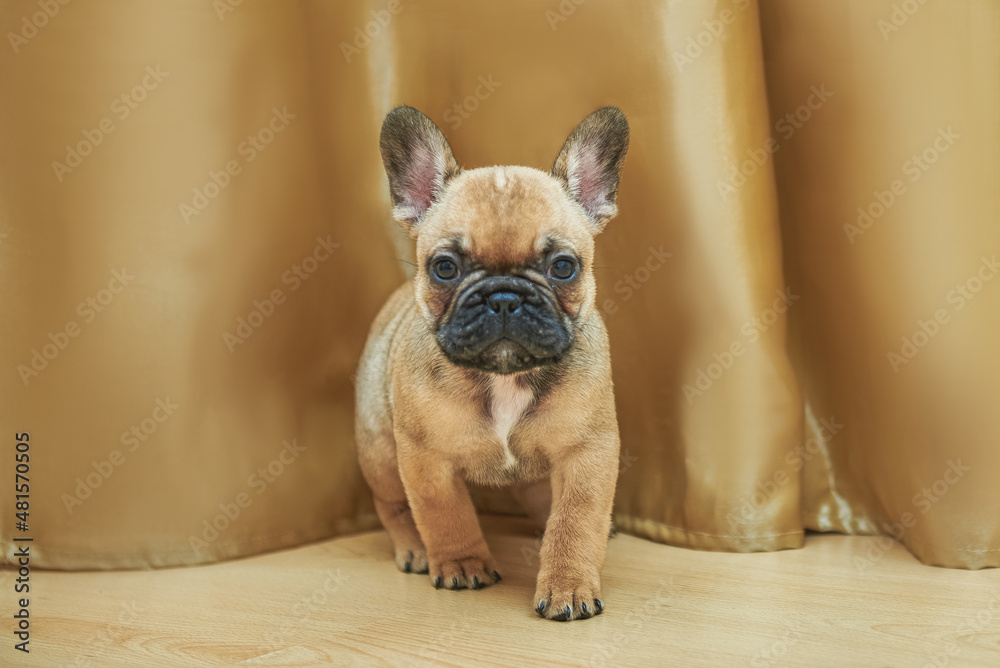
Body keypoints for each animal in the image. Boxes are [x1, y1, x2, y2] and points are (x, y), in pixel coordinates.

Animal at [356, 104, 628, 620]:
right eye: (445, 267)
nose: (504, 297)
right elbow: (444, 513)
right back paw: (414, 548)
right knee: (393, 506)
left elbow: (575, 522)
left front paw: (567, 585)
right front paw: (462, 563)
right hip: (379, 449)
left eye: (564, 267)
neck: (504, 376)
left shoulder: (586, 453)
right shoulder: (426, 459)